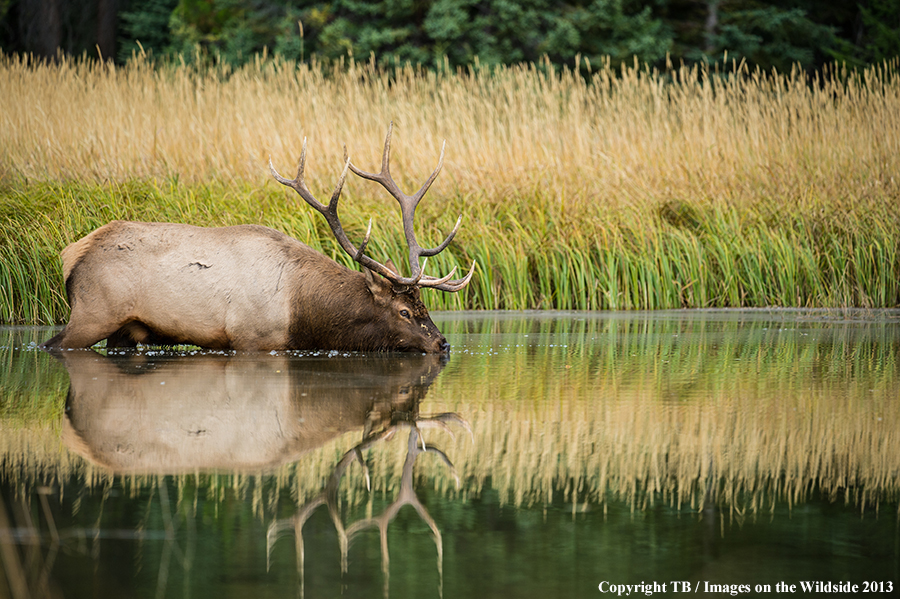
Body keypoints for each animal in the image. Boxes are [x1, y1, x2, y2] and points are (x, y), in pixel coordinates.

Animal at [42, 124, 474, 354]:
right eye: (404, 312)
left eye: (423, 305)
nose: (443, 343)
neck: (306, 316)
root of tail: (71, 254)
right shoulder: (251, 338)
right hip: (92, 313)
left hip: (125, 332)